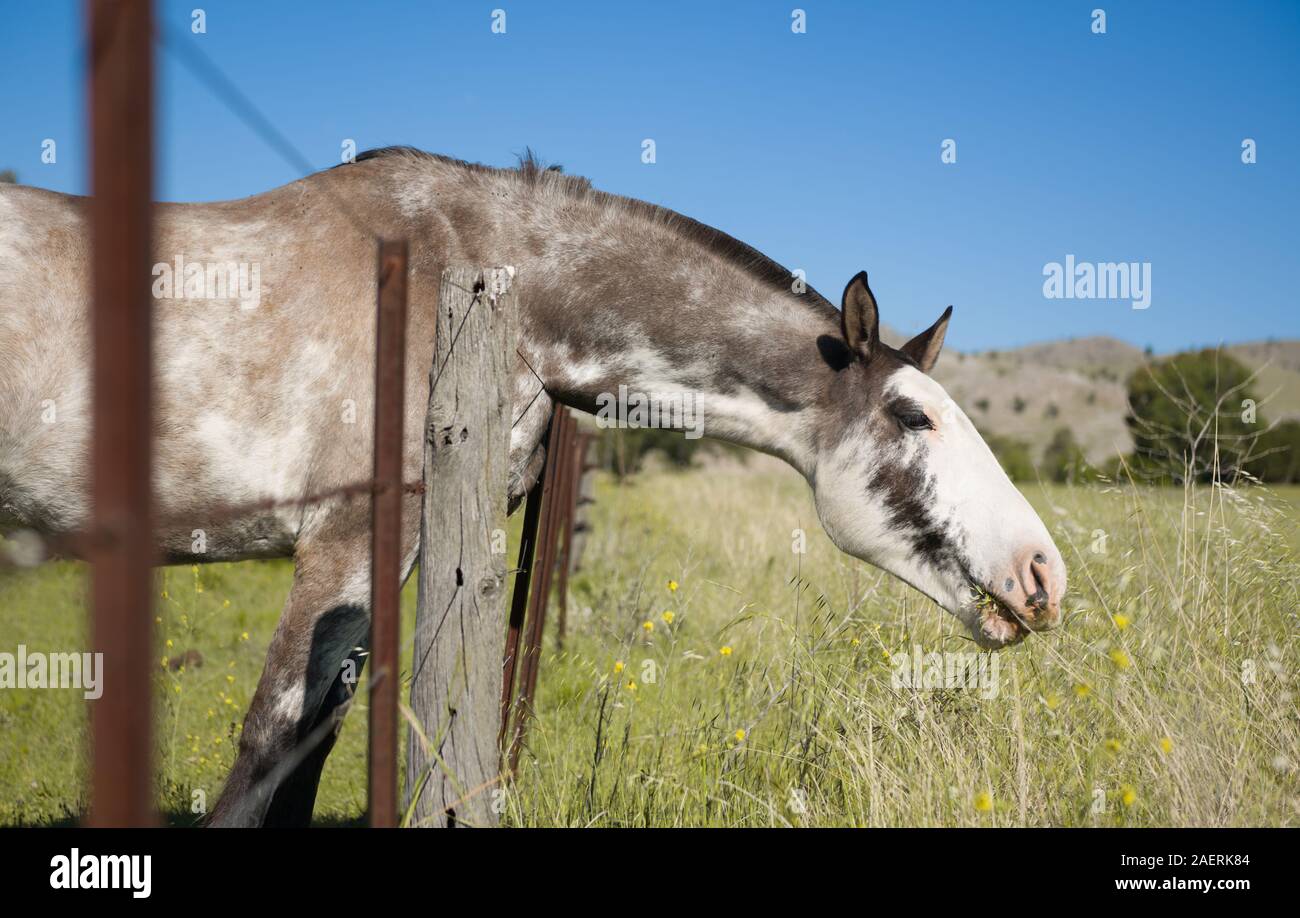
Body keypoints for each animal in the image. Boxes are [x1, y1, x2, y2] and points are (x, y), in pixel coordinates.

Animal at [0, 148, 1066, 821]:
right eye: (914, 417)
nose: (1043, 572)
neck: (482, 274)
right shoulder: (346, 539)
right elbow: (268, 748)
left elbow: (303, 763)